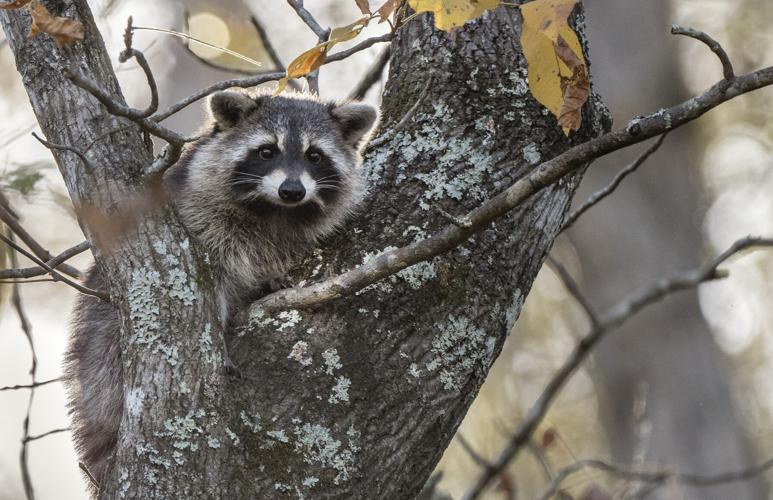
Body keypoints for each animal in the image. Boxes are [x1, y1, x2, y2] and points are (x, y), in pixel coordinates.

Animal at [65, 90, 379, 485]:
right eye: (266, 151)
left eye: (315, 155)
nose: (292, 190)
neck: (274, 212)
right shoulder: (195, 216)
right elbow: (210, 282)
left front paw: (269, 280)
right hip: (102, 343)